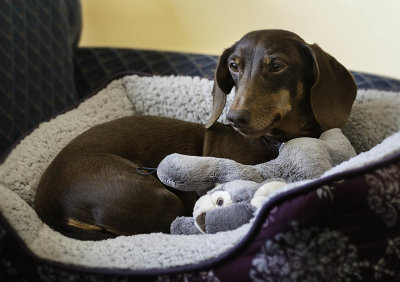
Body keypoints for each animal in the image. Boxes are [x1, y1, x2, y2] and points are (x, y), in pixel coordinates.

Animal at [34, 29, 356, 240]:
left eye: (277, 66)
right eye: (233, 65)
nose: (235, 118)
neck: (273, 141)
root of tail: (52, 209)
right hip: (160, 198)